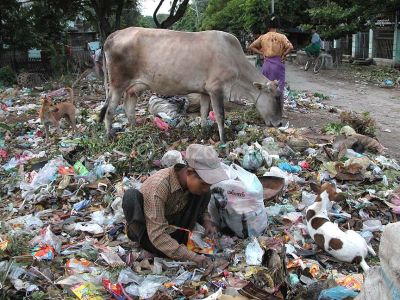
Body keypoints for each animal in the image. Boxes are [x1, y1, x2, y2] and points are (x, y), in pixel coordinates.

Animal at [99, 26, 282, 142]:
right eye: (276, 98)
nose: (279, 123)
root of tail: (114, 34)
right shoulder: (216, 88)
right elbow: (220, 115)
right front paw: (223, 140)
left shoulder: (205, 91)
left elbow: (204, 112)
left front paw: (204, 131)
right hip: (117, 84)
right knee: (109, 110)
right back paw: (108, 136)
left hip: (134, 87)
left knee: (129, 108)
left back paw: (135, 130)